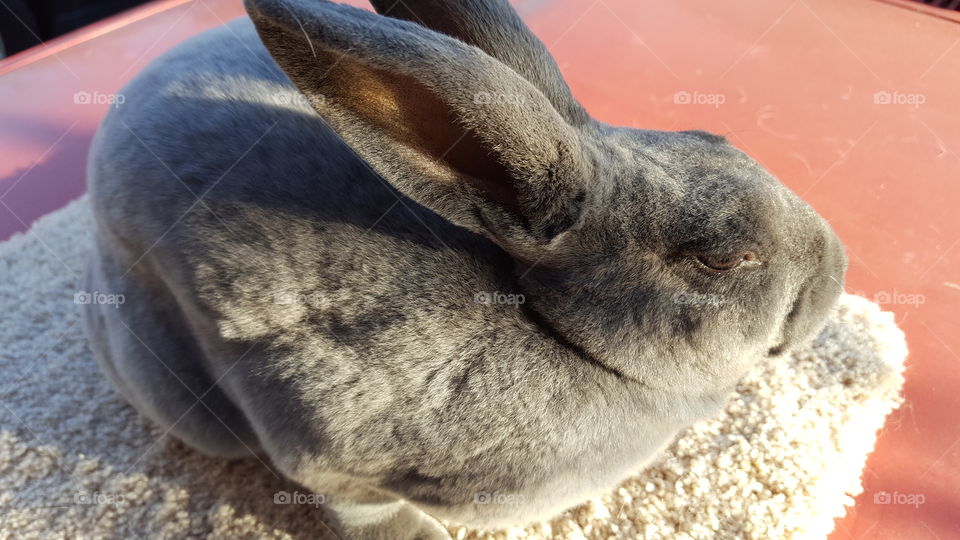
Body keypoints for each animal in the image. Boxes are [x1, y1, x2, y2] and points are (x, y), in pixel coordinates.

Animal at [81, 0, 847, 538]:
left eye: (714, 136)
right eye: (722, 258)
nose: (837, 272)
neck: (543, 319)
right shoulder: (318, 446)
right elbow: (357, 507)